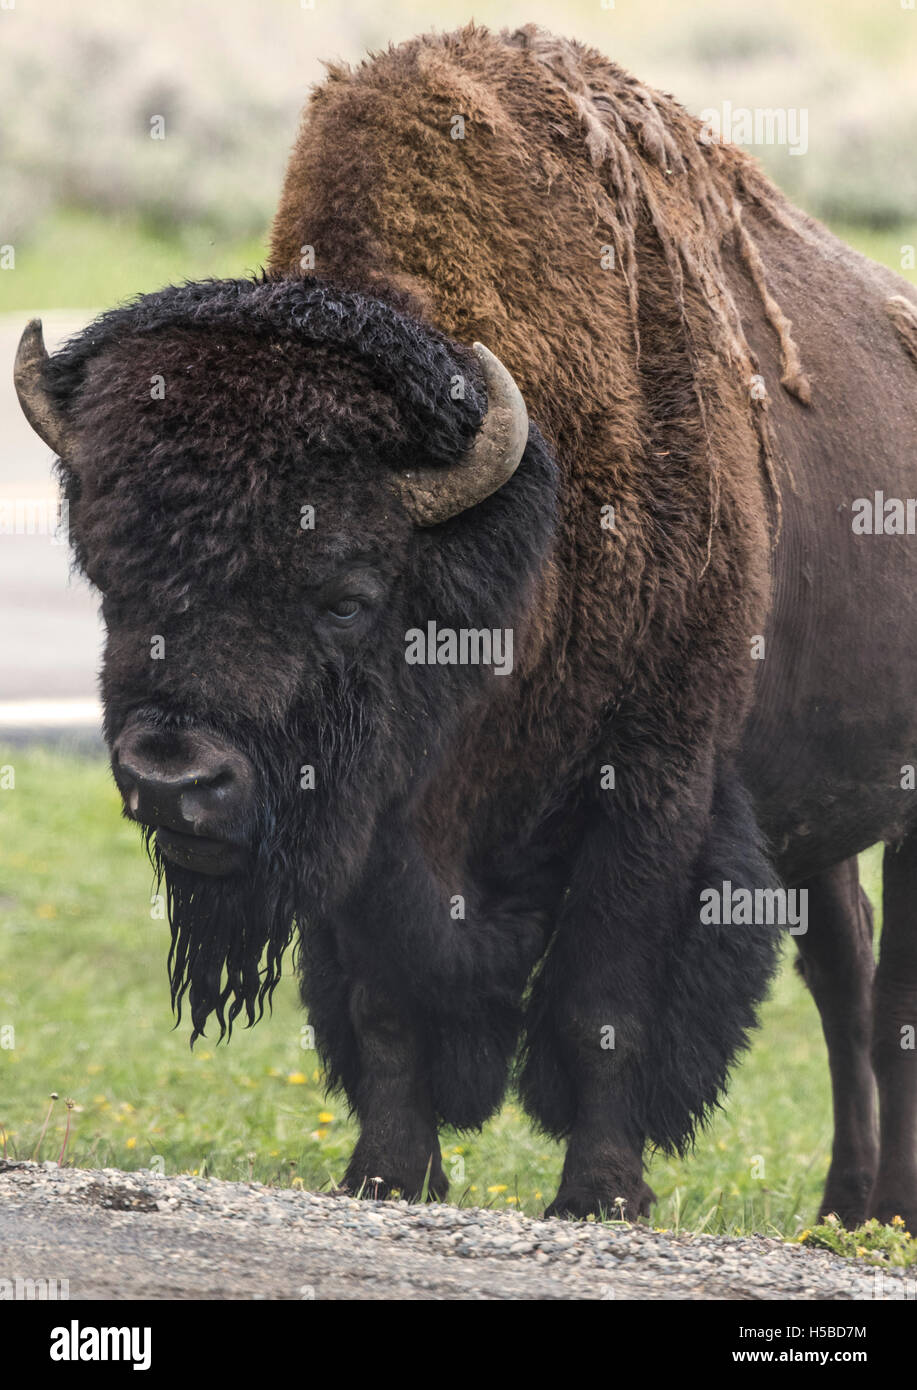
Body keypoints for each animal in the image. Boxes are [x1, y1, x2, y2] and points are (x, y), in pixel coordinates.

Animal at [14, 25, 917, 1227]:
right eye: (112, 576)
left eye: (347, 595)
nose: (173, 779)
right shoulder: (371, 818)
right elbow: (387, 1003)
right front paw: (390, 1173)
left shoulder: (654, 790)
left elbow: (602, 998)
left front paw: (599, 1196)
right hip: (816, 822)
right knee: (843, 970)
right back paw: (842, 1207)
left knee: (889, 994)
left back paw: (887, 1208)